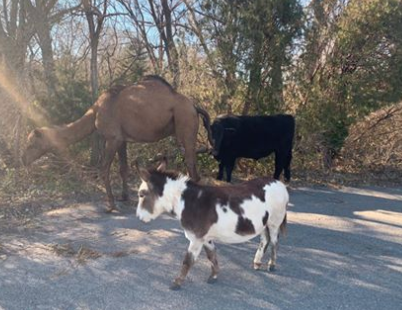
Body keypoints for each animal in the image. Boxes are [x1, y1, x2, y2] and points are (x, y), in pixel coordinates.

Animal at [22, 75, 214, 212]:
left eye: (32, 144)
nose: (22, 160)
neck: (96, 112)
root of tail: (194, 106)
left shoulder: (112, 138)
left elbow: (104, 168)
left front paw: (111, 205)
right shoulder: (122, 139)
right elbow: (123, 168)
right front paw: (124, 197)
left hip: (185, 125)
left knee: (192, 167)